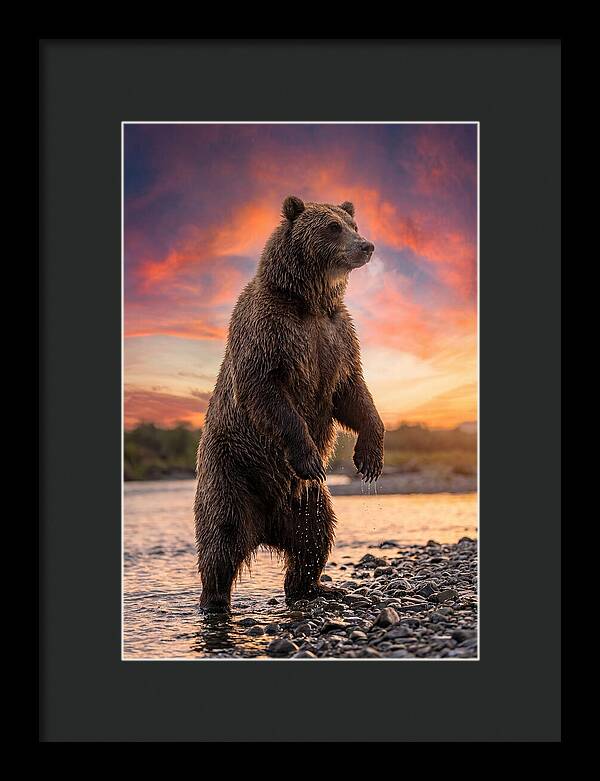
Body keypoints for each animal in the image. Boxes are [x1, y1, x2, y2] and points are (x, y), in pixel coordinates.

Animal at [194, 196, 385, 612]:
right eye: (332, 227)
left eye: (353, 223)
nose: (366, 246)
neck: (309, 301)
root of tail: (265, 527)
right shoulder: (270, 331)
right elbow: (266, 391)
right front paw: (310, 456)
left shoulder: (336, 337)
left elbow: (352, 393)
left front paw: (370, 458)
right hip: (231, 471)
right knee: (222, 538)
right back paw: (214, 600)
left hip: (306, 500)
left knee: (315, 535)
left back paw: (314, 586)